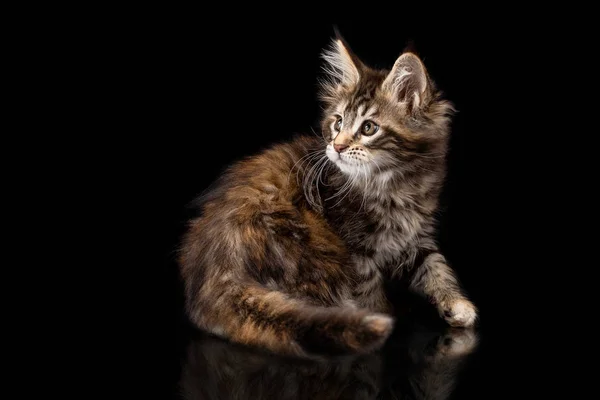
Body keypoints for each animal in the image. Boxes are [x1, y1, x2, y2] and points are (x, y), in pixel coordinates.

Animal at [178, 34, 478, 358]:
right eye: (338, 123)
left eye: (368, 127)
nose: (337, 146)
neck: (395, 183)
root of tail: (213, 269)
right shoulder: (356, 248)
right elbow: (369, 289)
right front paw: (383, 313)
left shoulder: (416, 236)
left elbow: (436, 267)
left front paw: (458, 306)